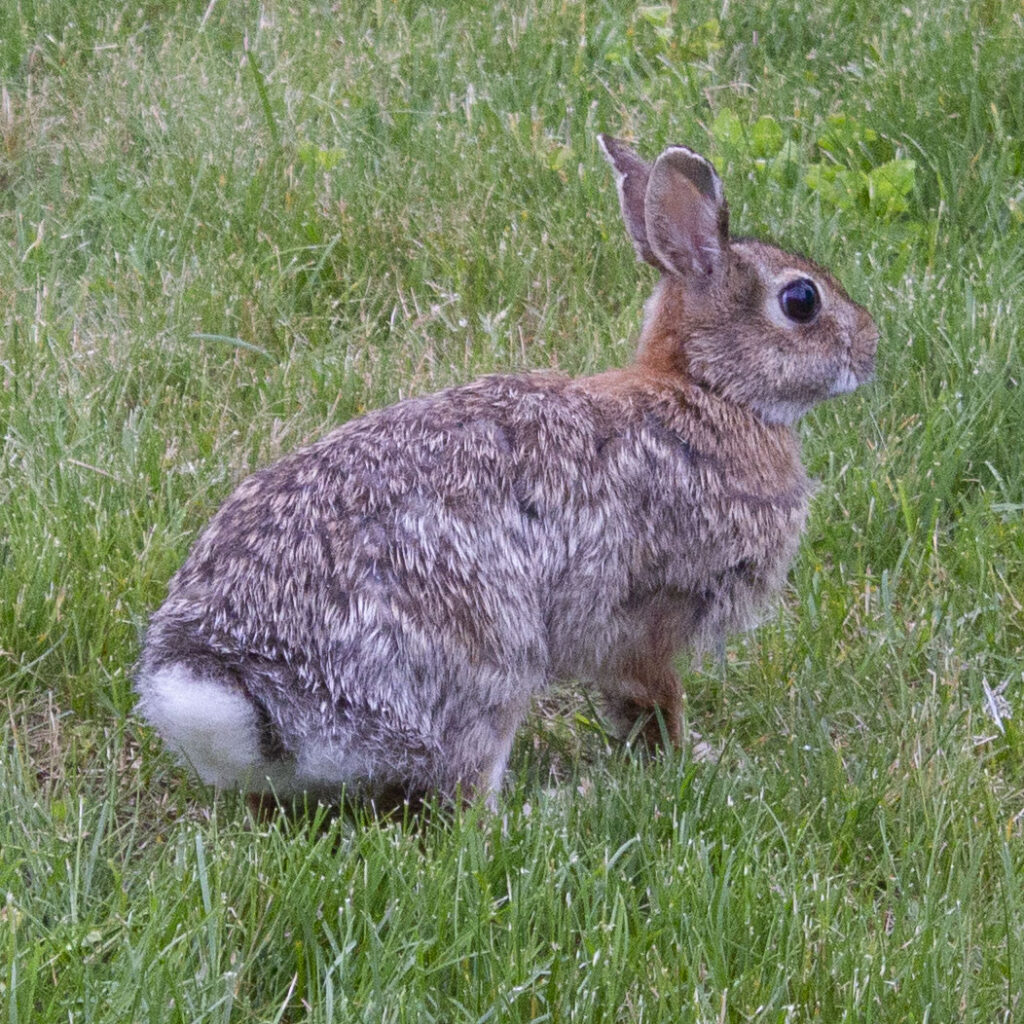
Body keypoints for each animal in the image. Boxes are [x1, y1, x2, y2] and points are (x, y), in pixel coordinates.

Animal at [132, 134, 876, 806]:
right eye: (801, 301)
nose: (872, 347)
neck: (706, 390)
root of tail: (246, 690)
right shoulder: (646, 616)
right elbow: (656, 697)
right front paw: (694, 760)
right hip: (488, 658)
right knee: (466, 798)